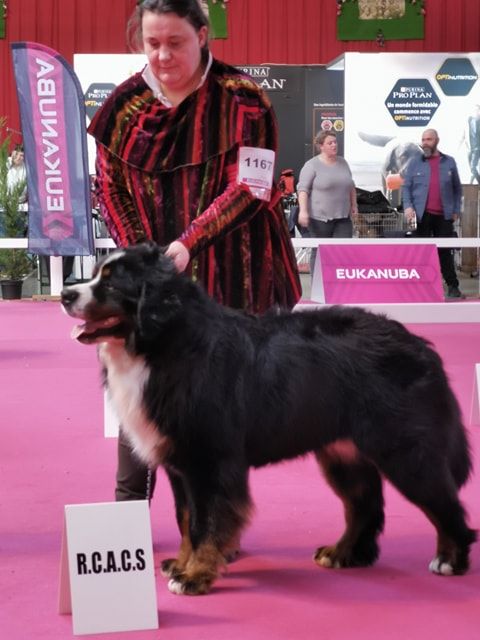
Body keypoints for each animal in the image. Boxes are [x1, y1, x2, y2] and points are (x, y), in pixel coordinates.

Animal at [61, 241, 476, 596]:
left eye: (111, 282)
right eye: (94, 274)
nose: (67, 294)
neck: (161, 345)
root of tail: (419, 344)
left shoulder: (209, 461)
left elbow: (205, 522)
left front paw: (195, 575)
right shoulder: (179, 466)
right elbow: (185, 520)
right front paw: (180, 564)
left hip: (406, 452)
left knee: (444, 503)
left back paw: (450, 559)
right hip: (343, 454)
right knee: (363, 506)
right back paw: (342, 553)